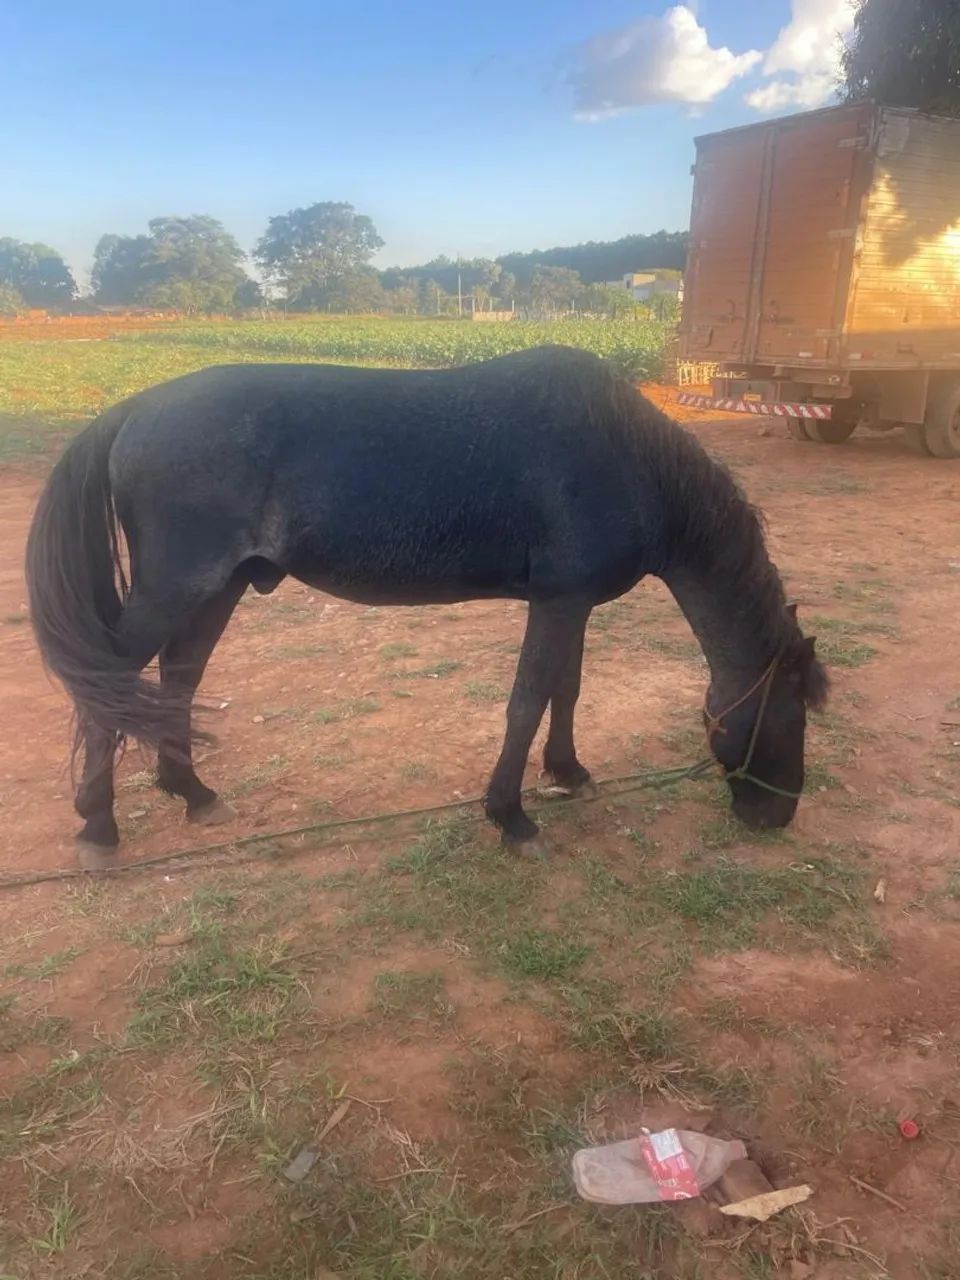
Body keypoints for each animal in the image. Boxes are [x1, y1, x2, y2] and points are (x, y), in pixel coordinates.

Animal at [26, 346, 828, 868]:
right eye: (791, 714)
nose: (778, 814)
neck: (628, 460)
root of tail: (134, 409)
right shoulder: (559, 601)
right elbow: (528, 699)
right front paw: (511, 816)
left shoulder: (571, 603)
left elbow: (565, 689)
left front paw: (568, 773)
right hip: (178, 586)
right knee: (112, 685)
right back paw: (99, 828)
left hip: (218, 586)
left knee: (177, 678)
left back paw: (190, 791)